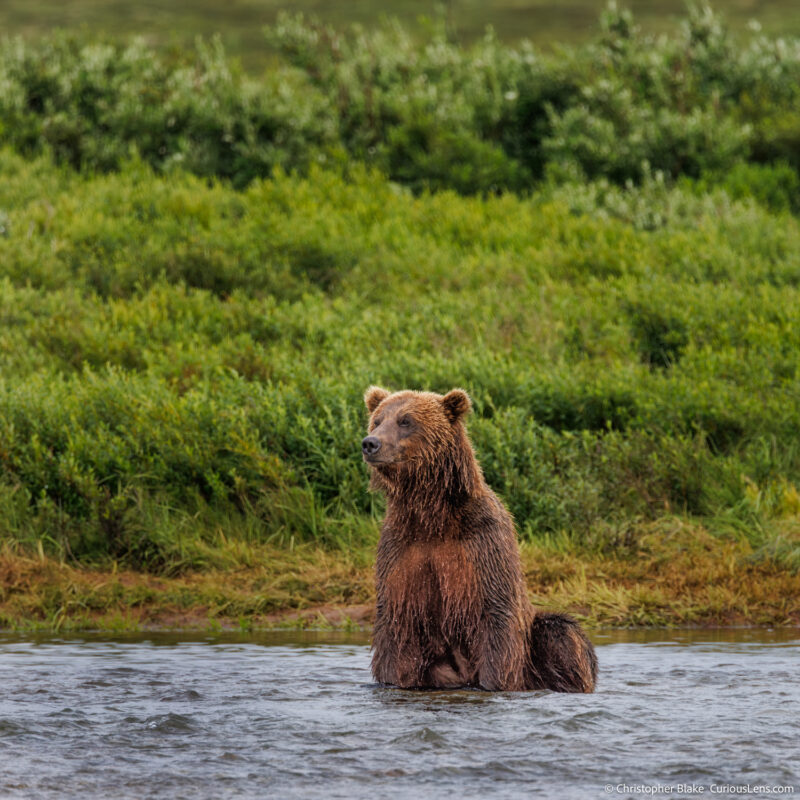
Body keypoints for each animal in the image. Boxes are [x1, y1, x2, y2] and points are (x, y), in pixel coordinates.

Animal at [360, 388, 592, 692]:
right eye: (377, 420)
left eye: (405, 420)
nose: (370, 443)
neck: (432, 516)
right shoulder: (400, 550)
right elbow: (396, 625)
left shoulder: (482, 544)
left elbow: (497, 615)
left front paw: (493, 684)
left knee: (561, 633)